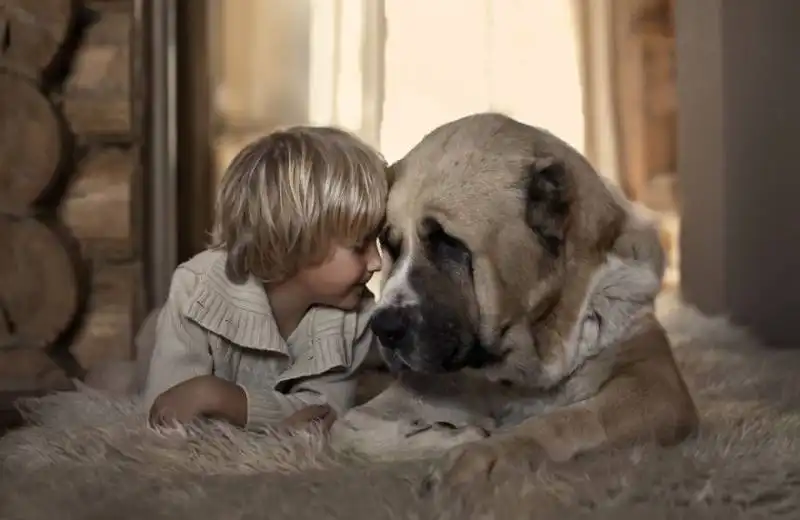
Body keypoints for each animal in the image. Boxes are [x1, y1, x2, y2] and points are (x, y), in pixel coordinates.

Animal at [332, 112, 692, 496]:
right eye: (390, 246)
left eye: (448, 243)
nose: (383, 327)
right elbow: (343, 432)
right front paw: (456, 435)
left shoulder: (655, 386)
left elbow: (567, 420)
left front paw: (483, 453)